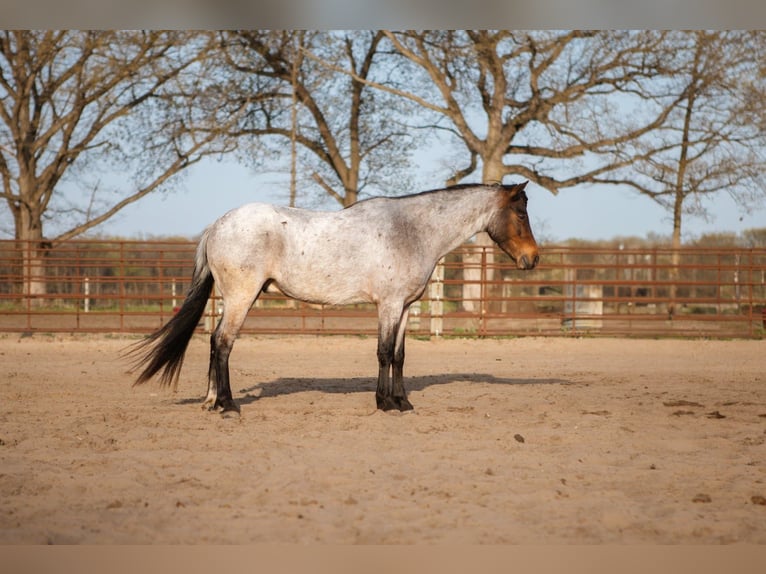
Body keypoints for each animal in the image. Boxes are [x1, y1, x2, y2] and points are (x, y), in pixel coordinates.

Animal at [129, 182, 539, 416]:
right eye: (521, 212)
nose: (532, 259)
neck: (411, 230)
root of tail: (218, 224)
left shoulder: (405, 307)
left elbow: (400, 355)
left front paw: (404, 402)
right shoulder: (388, 306)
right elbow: (384, 353)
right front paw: (385, 403)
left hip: (231, 299)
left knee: (215, 344)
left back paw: (212, 401)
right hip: (241, 297)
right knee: (223, 343)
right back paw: (228, 406)